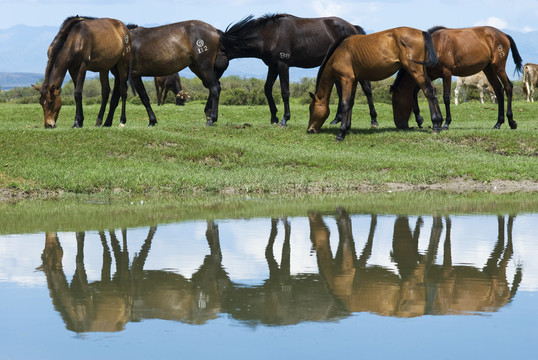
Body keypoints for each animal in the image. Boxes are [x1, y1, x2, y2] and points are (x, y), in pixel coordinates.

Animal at [219, 13, 376, 126]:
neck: (270, 34)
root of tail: (353, 27)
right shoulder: (272, 66)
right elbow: (267, 89)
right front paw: (274, 117)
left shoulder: (283, 65)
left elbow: (285, 92)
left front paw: (284, 119)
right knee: (341, 91)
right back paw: (336, 120)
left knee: (367, 90)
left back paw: (374, 120)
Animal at [306, 27, 440, 141]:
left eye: (311, 109)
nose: (310, 130)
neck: (339, 52)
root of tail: (421, 32)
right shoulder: (354, 80)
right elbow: (351, 103)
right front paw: (347, 127)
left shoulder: (346, 79)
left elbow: (345, 103)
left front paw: (341, 133)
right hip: (422, 70)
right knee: (433, 90)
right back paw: (438, 123)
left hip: (415, 70)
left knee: (428, 91)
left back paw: (435, 124)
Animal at [390, 26, 520, 131]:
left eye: (395, 102)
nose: (399, 125)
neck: (434, 46)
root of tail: (504, 35)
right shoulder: (432, 75)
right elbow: (417, 91)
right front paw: (420, 118)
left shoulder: (446, 73)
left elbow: (446, 98)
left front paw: (446, 123)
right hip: (489, 70)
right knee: (499, 91)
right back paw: (498, 123)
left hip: (499, 68)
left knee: (508, 87)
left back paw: (511, 122)